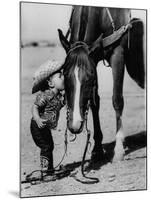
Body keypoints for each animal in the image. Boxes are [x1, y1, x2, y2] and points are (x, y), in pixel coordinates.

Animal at [57, 5, 145, 164]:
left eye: (89, 76)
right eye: (64, 73)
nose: (75, 124)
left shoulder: (118, 54)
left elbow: (117, 100)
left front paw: (119, 150)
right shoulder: (94, 57)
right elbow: (94, 102)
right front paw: (97, 149)